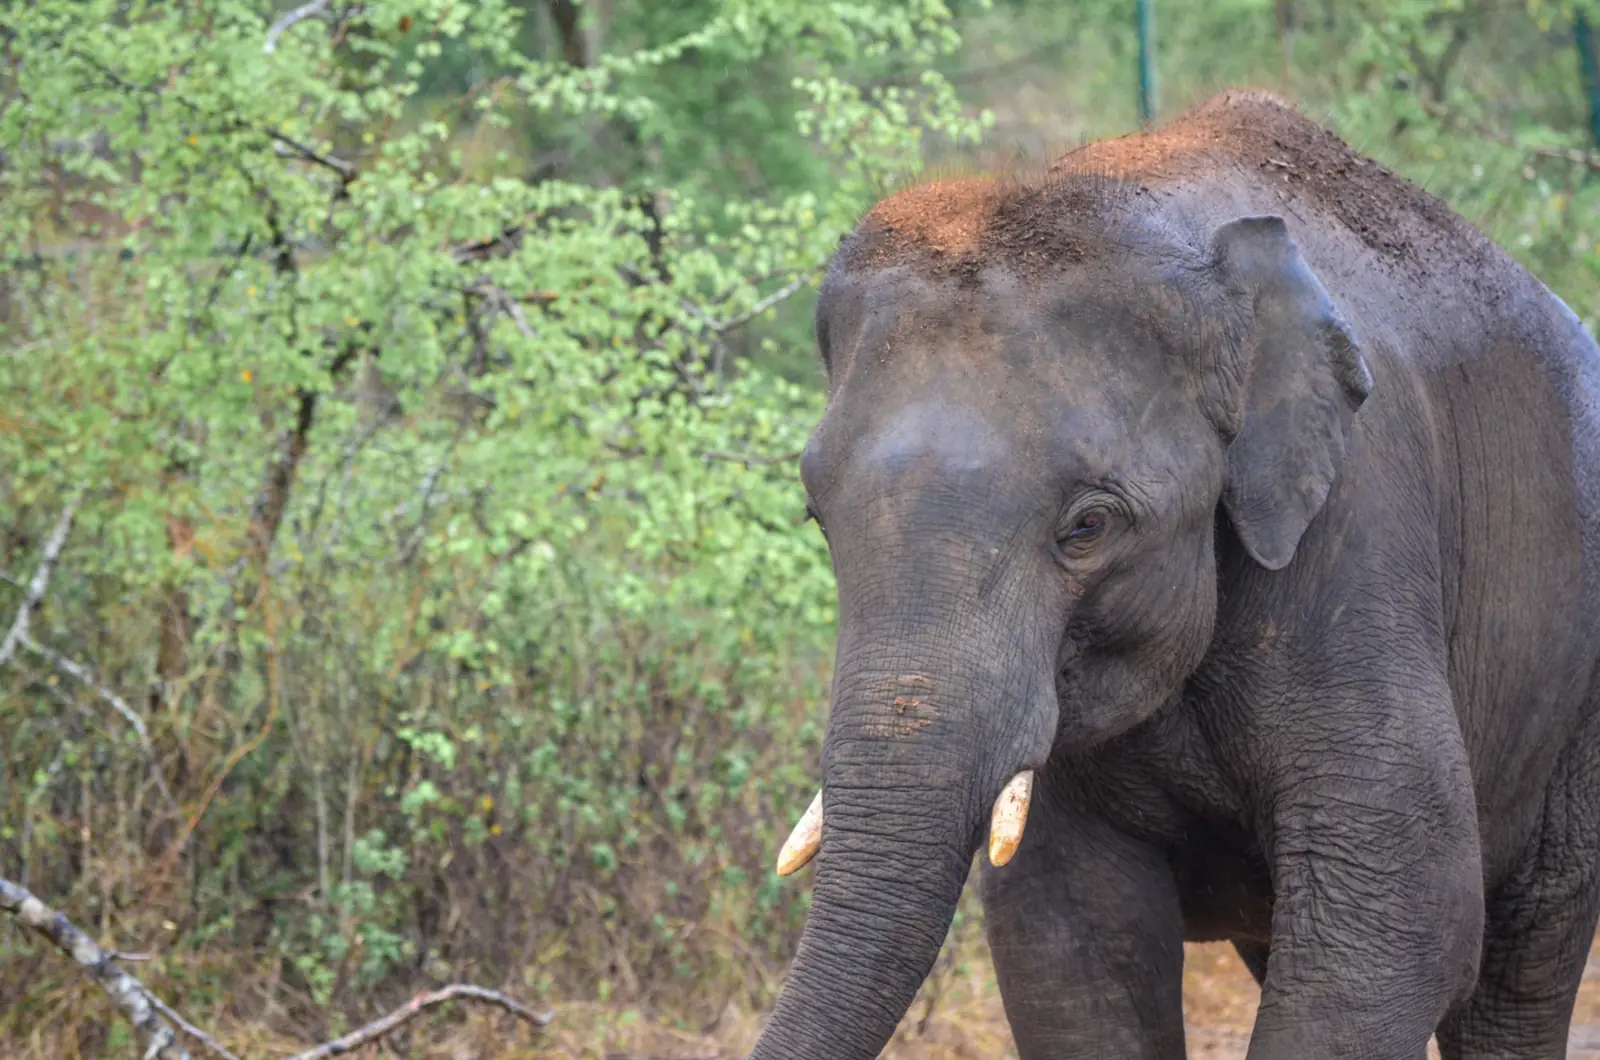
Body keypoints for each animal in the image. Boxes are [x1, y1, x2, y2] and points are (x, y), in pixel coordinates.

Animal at [749, 91, 1600, 1059]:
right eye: (816, 515)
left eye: (1087, 527)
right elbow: (1067, 938)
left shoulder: (1360, 524)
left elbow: (1397, 906)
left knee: (1526, 947)